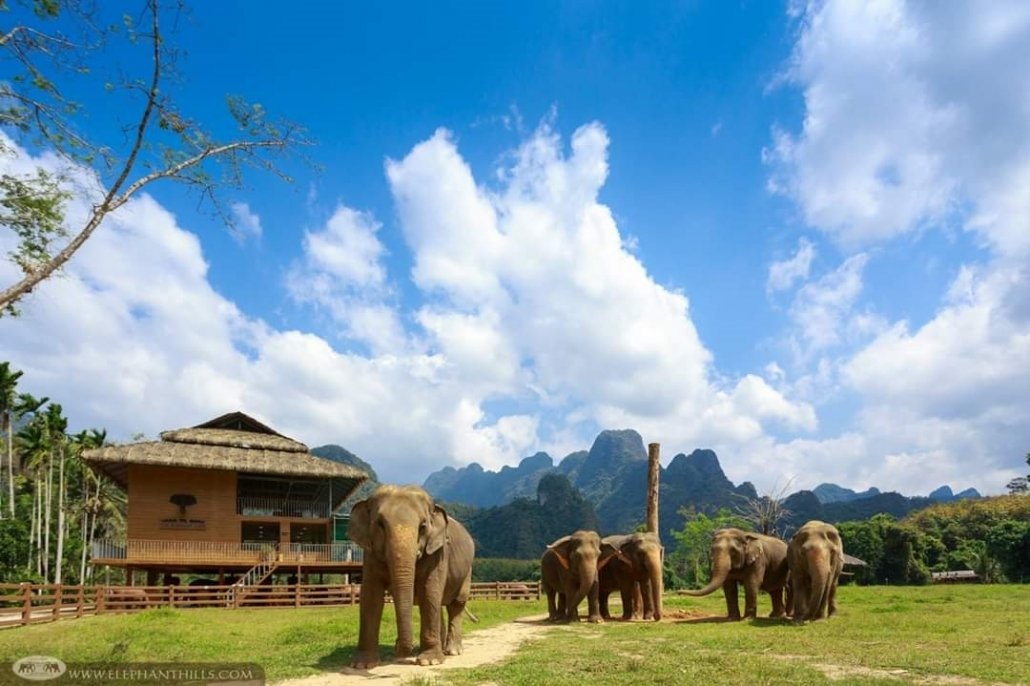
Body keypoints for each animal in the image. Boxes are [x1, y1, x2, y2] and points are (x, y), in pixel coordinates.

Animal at [348, 484, 475, 668]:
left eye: (422, 526)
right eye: (380, 524)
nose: (400, 651)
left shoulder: (437, 553)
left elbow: (429, 591)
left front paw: (430, 661)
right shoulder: (370, 553)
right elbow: (371, 596)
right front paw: (362, 665)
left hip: (467, 571)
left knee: (456, 604)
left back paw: (452, 651)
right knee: (439, 605)